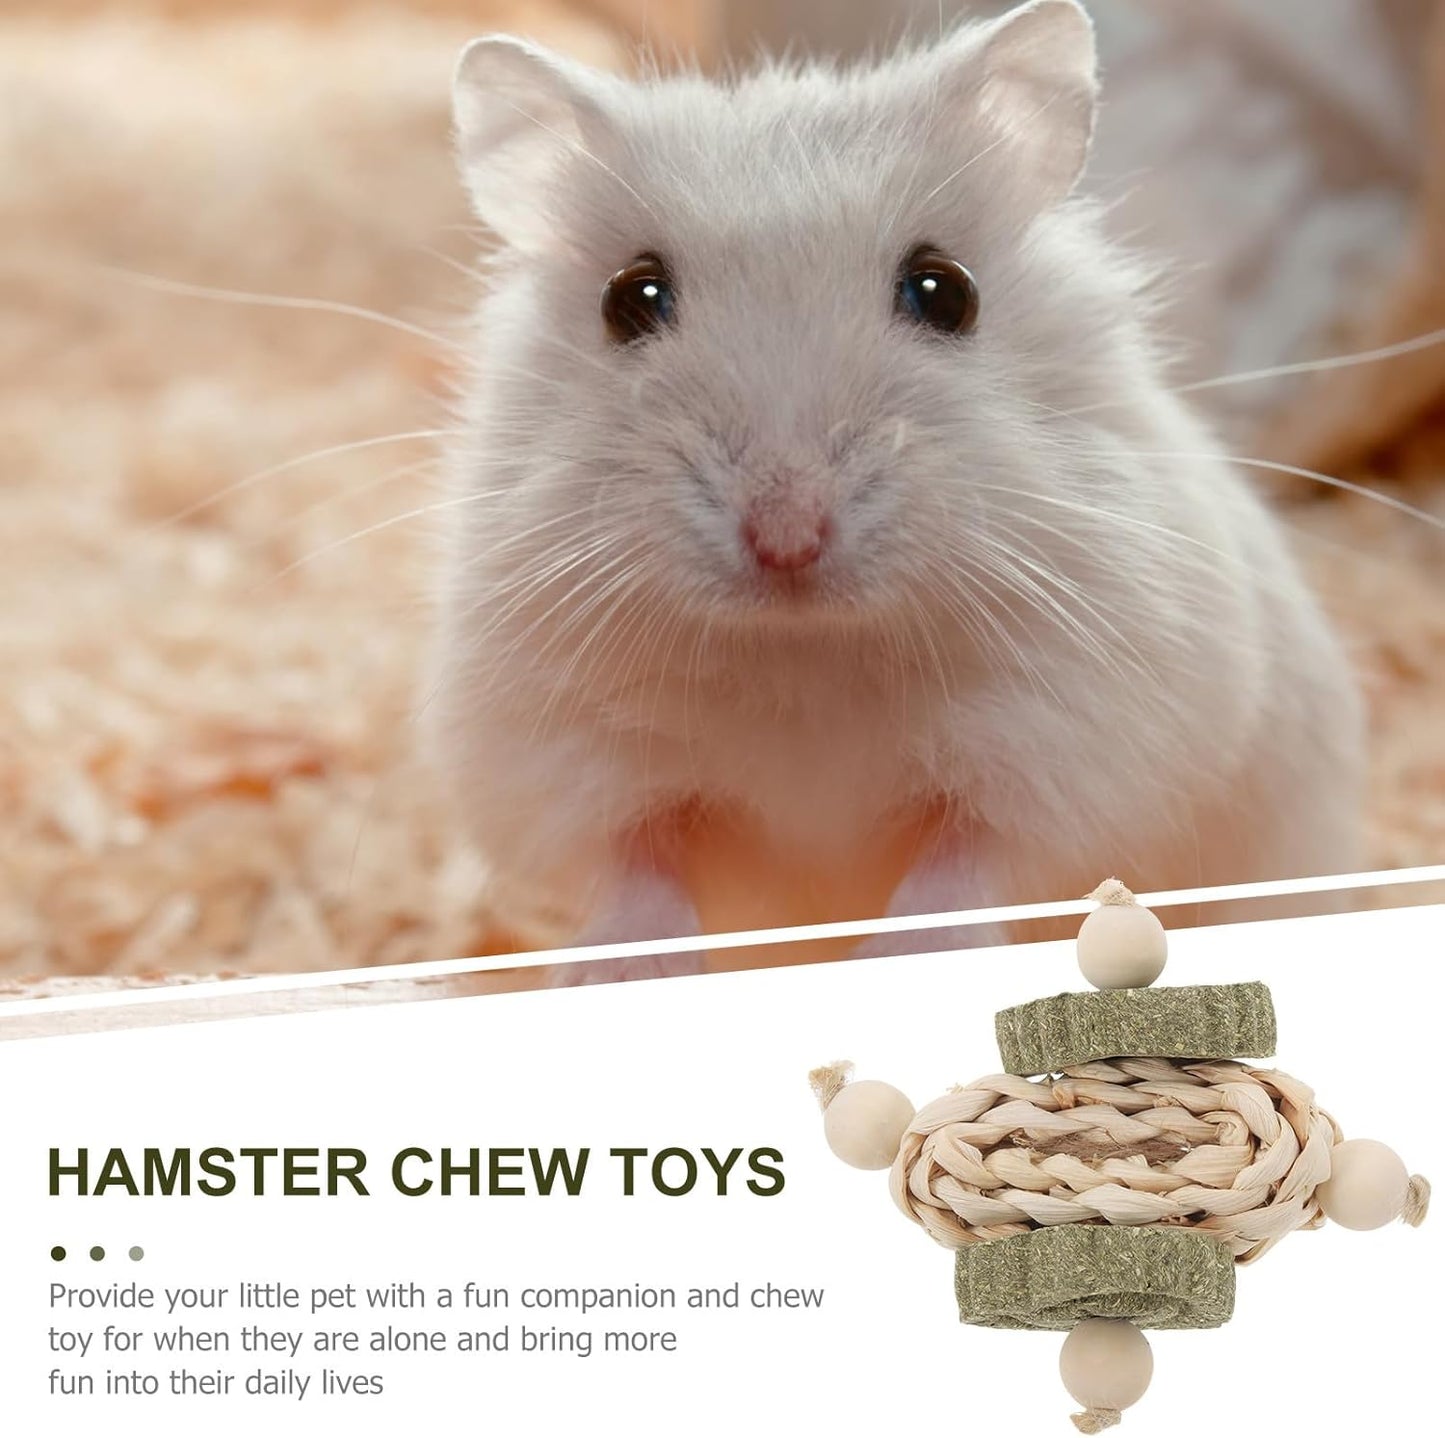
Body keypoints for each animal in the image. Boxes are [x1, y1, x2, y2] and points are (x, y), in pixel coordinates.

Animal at [427, 0, 1364, 978]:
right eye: (629, 299)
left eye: (943, 291)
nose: (787, 537)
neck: (804, 656)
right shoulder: (557, 750)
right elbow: (634, 861)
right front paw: (616, 967)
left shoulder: (1076, 741)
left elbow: (969, 863)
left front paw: (896, 953)